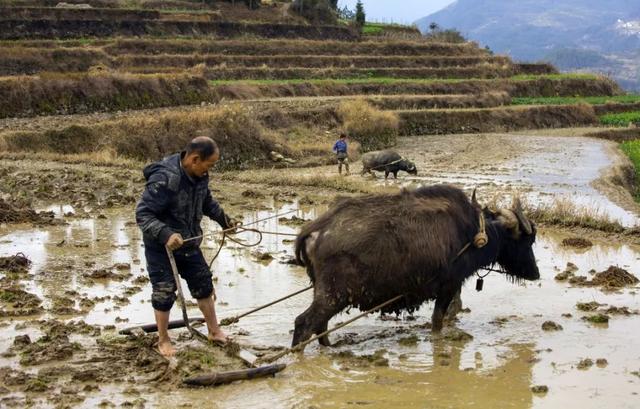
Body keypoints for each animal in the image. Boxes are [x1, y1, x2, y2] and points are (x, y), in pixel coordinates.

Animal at [296, 185, 540, 348]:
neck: (473, 232)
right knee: (304, 323)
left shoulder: (453, 286)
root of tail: (318, 228)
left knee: (320, 327)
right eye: (527, 240)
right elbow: (437, 320)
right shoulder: (448, 285)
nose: (536, 274)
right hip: (334, 295)